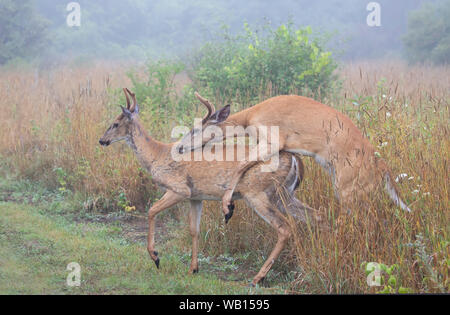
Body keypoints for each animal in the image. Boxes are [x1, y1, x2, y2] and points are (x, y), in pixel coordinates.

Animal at [98, 88, 320, 286]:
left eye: (115, 123)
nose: (102, 140)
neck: (156, 155)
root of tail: (296, 160)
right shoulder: (196, 196)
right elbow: (194, 229)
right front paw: (193, 269)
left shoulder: (180, 188)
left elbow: (151, 211)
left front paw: (156, 257)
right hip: (285, 194)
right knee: (316, 216)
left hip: (257, 192)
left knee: (284, 227)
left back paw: (258, 278)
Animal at [175, 92, 412, 223]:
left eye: (195, 129)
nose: (179, 147)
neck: (250, 118)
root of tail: (382, 167)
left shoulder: (273, 140)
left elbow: (241, 165)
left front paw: (227, 208)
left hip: (349, 189)